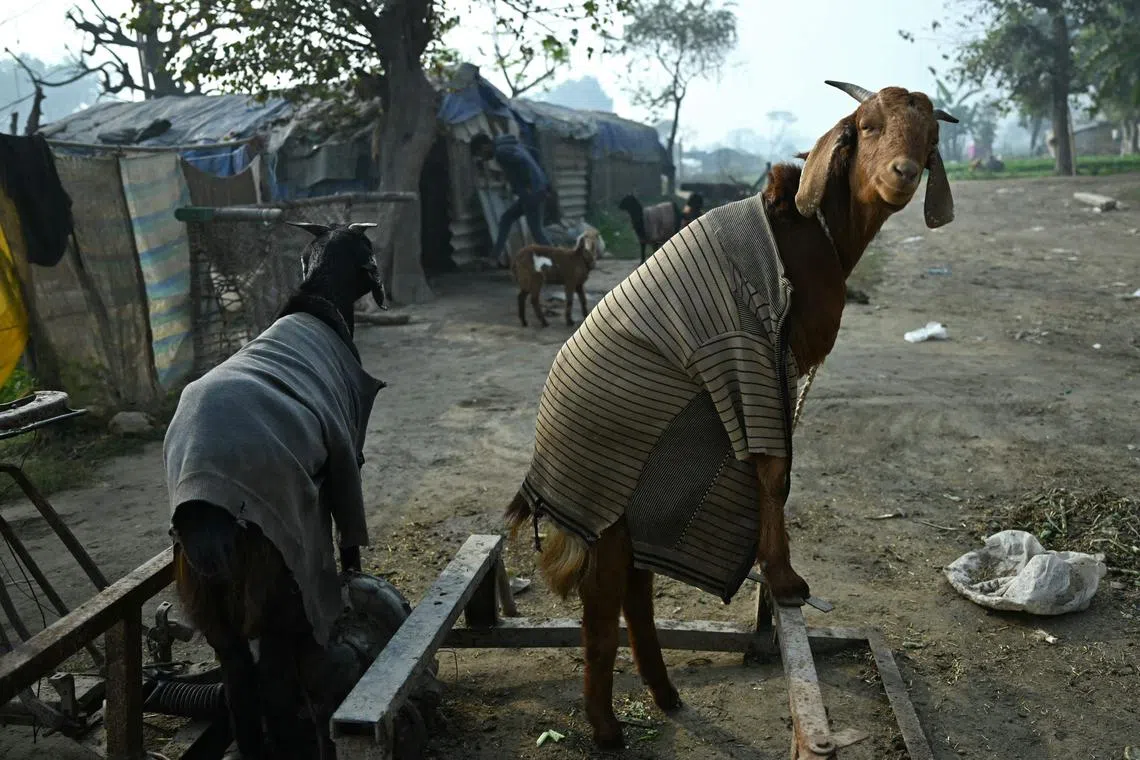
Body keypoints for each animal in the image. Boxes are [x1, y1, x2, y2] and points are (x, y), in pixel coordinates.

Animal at [165, 221, 387, 760]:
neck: (318, 300)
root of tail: (206, 514)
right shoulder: (347, 457)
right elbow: (348, 539)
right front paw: (355, 583)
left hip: (213, 601)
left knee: (238, 682)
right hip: (275, 581)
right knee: (272, 680)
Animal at [507, 80, 958, 749]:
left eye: (929, 139)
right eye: (867, 126)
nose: (903, 172)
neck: (812, 232)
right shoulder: (752, 356)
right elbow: (774, 472)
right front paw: (785, 580)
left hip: (637, 514)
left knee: (636, 591)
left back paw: (664, 694)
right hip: (604, 502)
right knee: (602, 605)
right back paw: (607, 727)